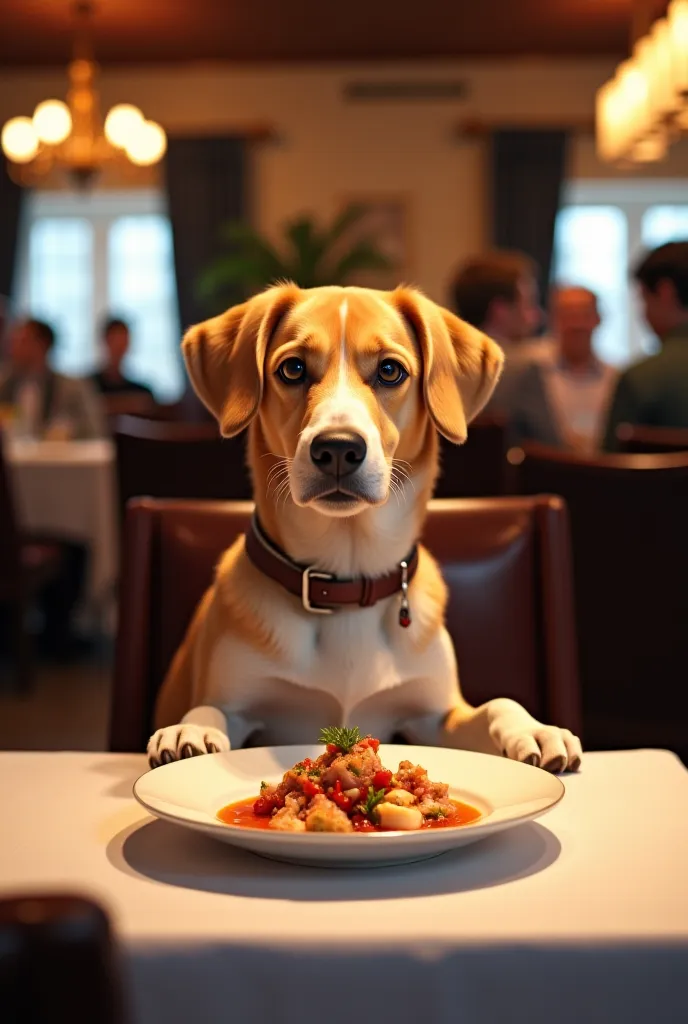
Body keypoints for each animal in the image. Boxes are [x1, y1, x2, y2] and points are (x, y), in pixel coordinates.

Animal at [147, 284, 581, 770]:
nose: (337, 448)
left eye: (390, 371)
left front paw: (534, 728)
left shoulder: (436, 717)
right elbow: (211, 708)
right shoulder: (240, 703)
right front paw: (192, 728)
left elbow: (497, 704)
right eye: (292, 368)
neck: (345, 582)